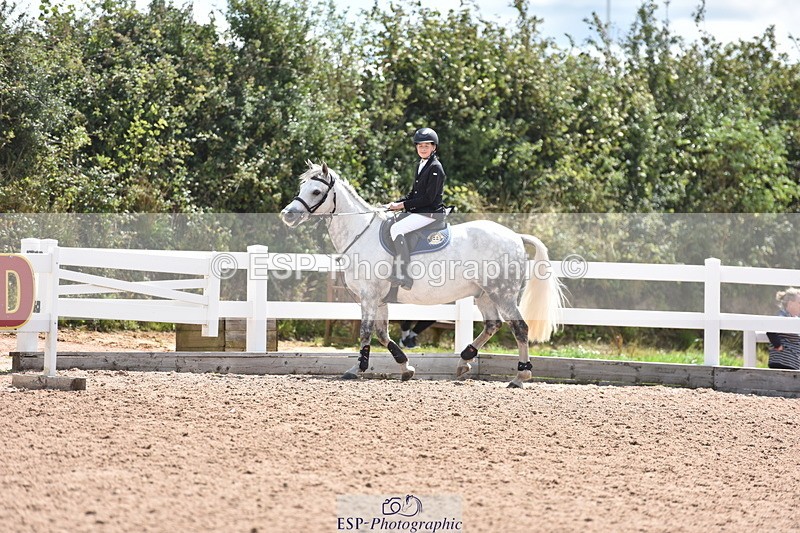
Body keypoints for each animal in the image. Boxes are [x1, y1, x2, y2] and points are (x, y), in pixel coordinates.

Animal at [280, 162, 564, 387]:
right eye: (302, 187)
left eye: (316, 191)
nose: (287, 215)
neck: (361, 234)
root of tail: (516, 236)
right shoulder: (379, 300)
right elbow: (382, 334)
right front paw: (406, 368)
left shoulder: (368, 296)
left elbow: (366, 332)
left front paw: (355, 369)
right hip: (483, 294)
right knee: (493, 325)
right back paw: (464, 362)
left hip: (502, 294)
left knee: (520, 328)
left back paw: (520, 377)